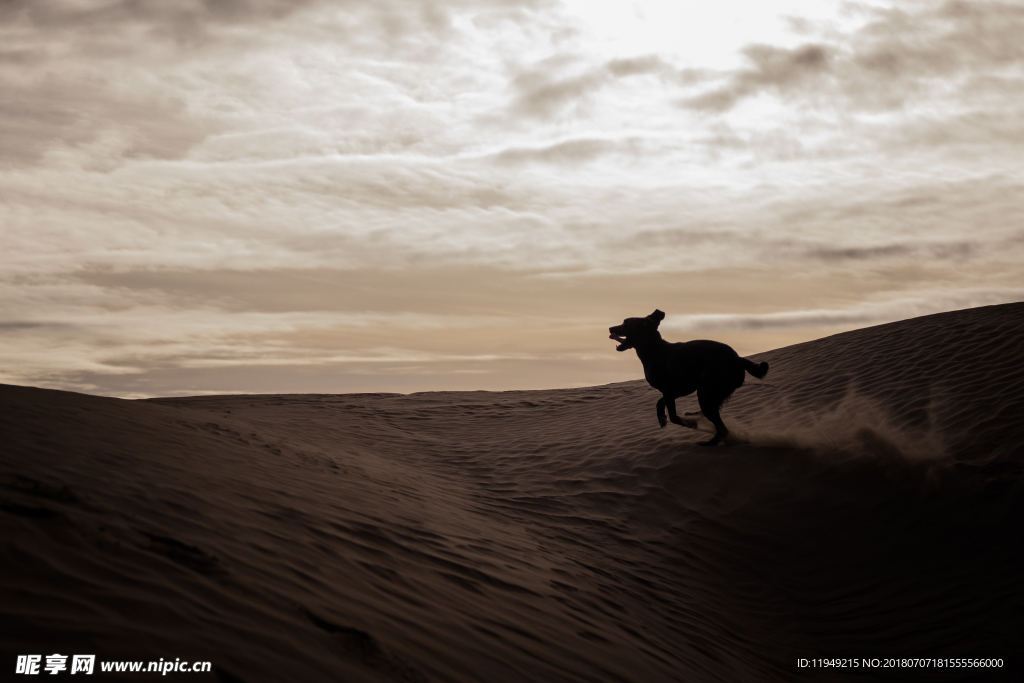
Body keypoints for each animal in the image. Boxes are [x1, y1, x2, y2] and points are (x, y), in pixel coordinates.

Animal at [606, 311, 770, 448]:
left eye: (625, 322)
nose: (610, 328)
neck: (654, 350)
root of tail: (738, 359)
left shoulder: (670, 391)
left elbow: (674, 417)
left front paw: (690, 424)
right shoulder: (674, 391)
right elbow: (659, 403)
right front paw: (662, 418)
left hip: (706, 392)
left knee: (722, 428)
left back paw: (708, 441)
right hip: (712, 393)